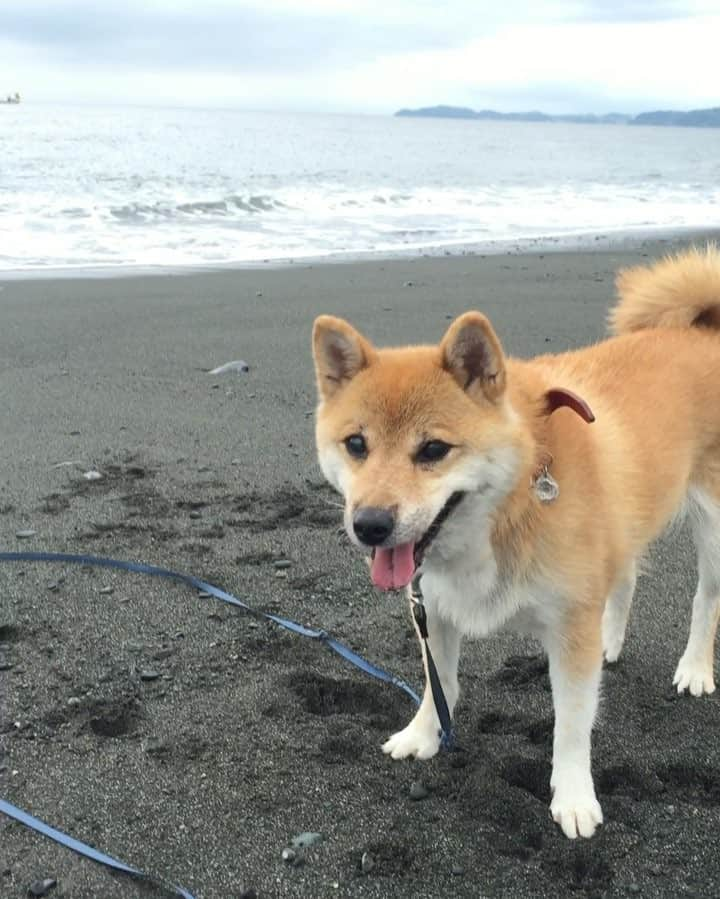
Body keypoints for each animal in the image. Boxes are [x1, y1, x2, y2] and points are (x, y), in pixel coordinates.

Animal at [312, 244, 720, 836]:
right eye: (356, 444)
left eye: (433, 449)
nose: (369, 525)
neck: (508, 505)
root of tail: (702, 329)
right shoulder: (433, 606)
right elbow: (439, 683)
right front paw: (423, 734)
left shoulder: (570, 628)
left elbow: (571, 724)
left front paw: (573, 795)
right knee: (623, 577)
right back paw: (612, 640)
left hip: (712, 526)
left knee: (705, 597)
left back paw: (694, 668)